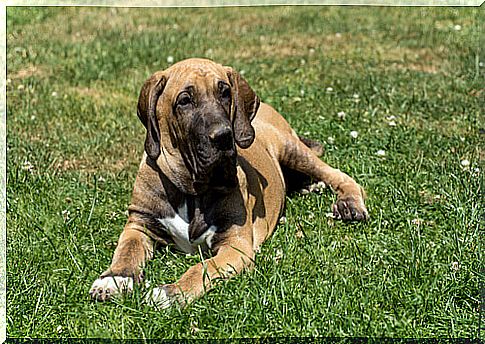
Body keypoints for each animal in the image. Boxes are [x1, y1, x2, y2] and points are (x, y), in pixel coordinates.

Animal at [89, 57, 364, 308]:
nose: (224, 136)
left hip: (292, 148)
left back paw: (349, 204)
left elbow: (202, 267)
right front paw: (113, 279)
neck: (192, 191)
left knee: (339, 175)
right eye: (184, 100)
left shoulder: (235, 245)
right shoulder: (139, 223)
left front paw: (172, 292)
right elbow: (126, 251)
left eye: (225, 92)